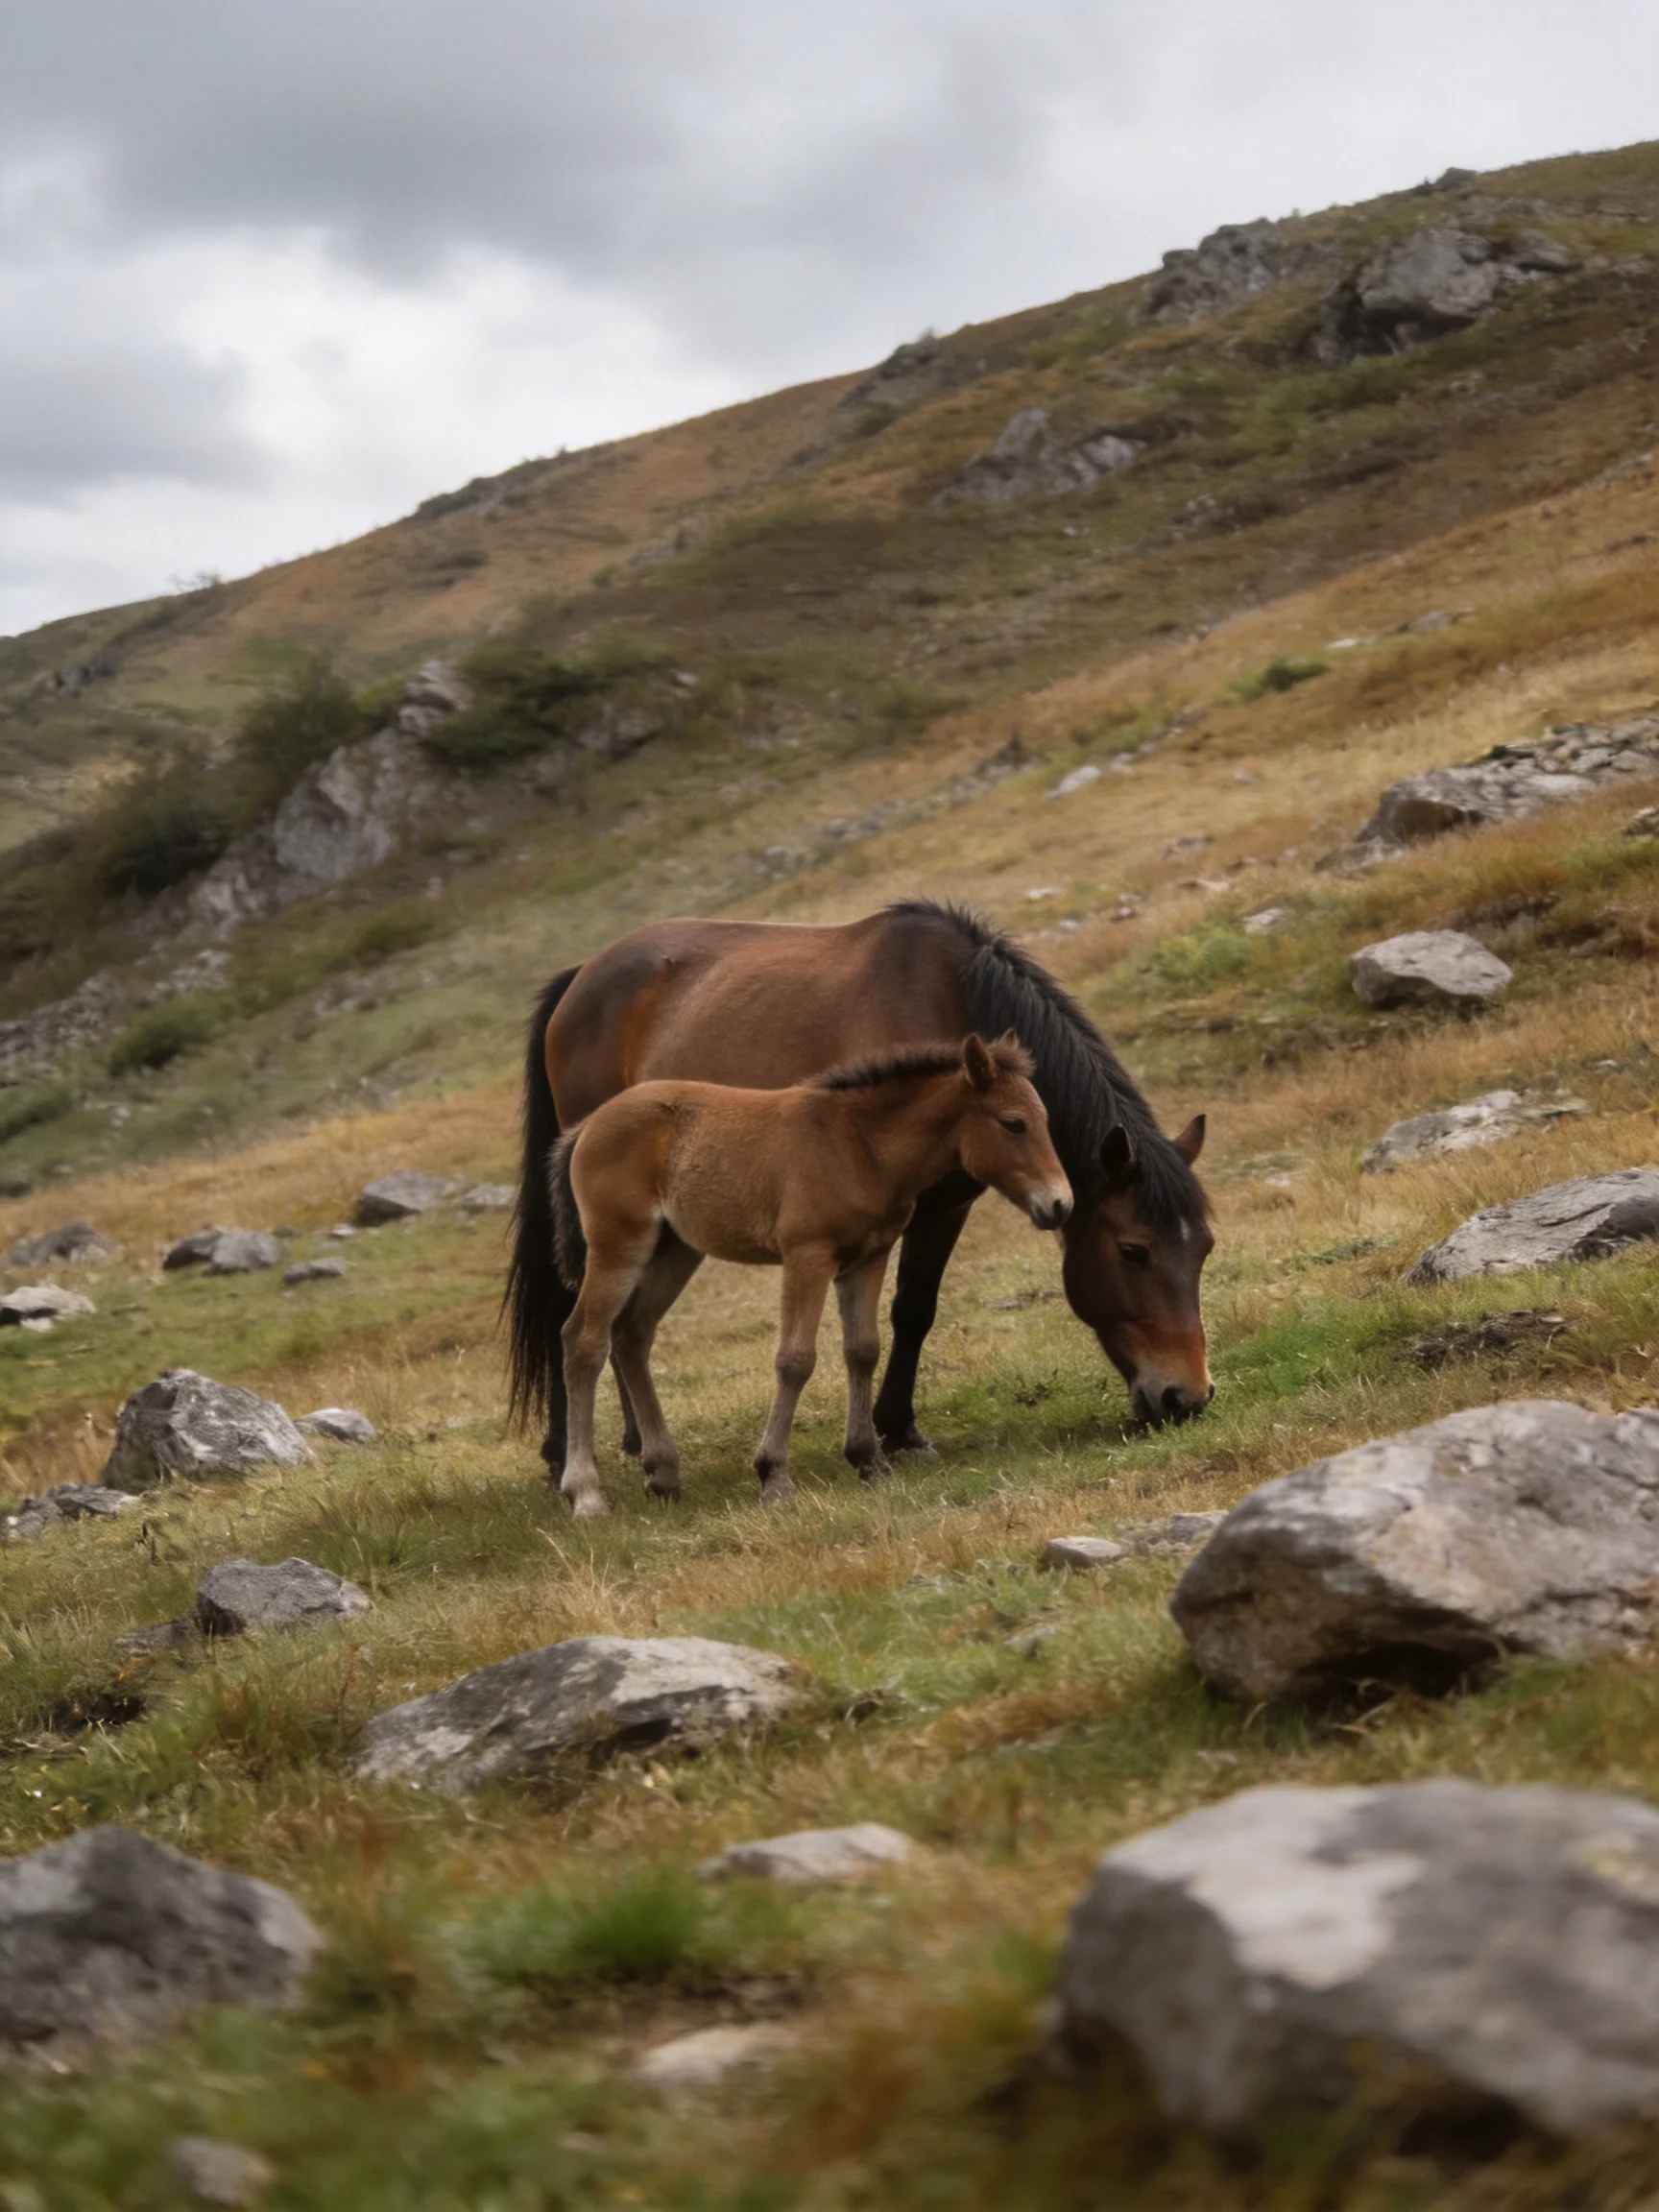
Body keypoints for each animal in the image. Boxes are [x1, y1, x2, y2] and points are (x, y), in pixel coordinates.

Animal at [547, 1033, 1071, 1518]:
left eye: (1046, 1120)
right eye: (1013, 1123)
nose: (1060, 1204)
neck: (858, 1144)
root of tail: (589, 1124)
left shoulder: (869, 1258)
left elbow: (862, 1351)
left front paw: (868, 1459)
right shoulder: (808, 1256)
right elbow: (795, 1359)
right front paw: (773, 1475)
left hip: (675, 1251)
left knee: (632, 1335)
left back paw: (663, 1472)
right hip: (619, 1246)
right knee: (583, 1341)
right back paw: (586, 1492)